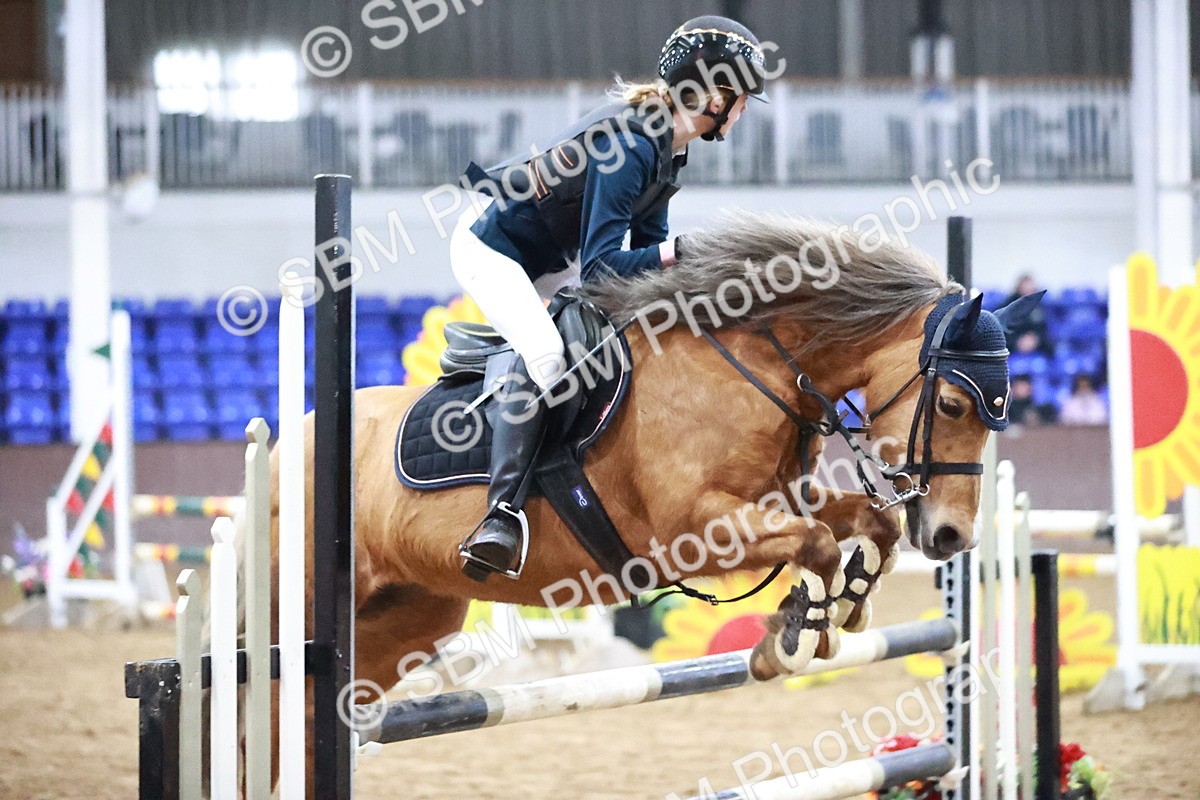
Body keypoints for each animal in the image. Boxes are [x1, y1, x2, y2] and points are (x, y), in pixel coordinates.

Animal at [266, 211, 1037, 790]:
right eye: (952, 403)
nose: (952, 538)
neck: (751, 367)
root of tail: (288, 441)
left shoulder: (779, 497)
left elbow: (867, 522)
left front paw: (843, 605)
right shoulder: (689, 531)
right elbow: (816, 541)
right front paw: (791, 639)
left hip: (408, 618)